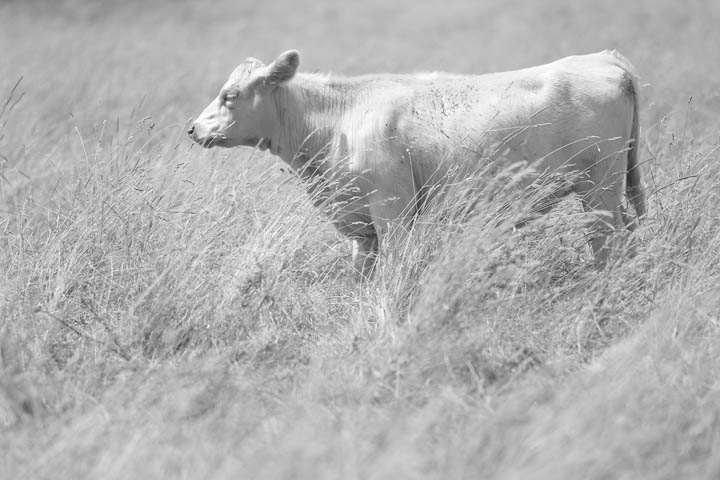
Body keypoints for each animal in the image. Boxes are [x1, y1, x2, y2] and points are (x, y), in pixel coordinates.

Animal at [188, 49, 645, 276]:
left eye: (230, 95)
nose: (193, 128)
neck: (338, 121)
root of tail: (604, 59)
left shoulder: (392, 211)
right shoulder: (362, 230)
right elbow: (362, 277)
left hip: (599, 190)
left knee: (609, 244)